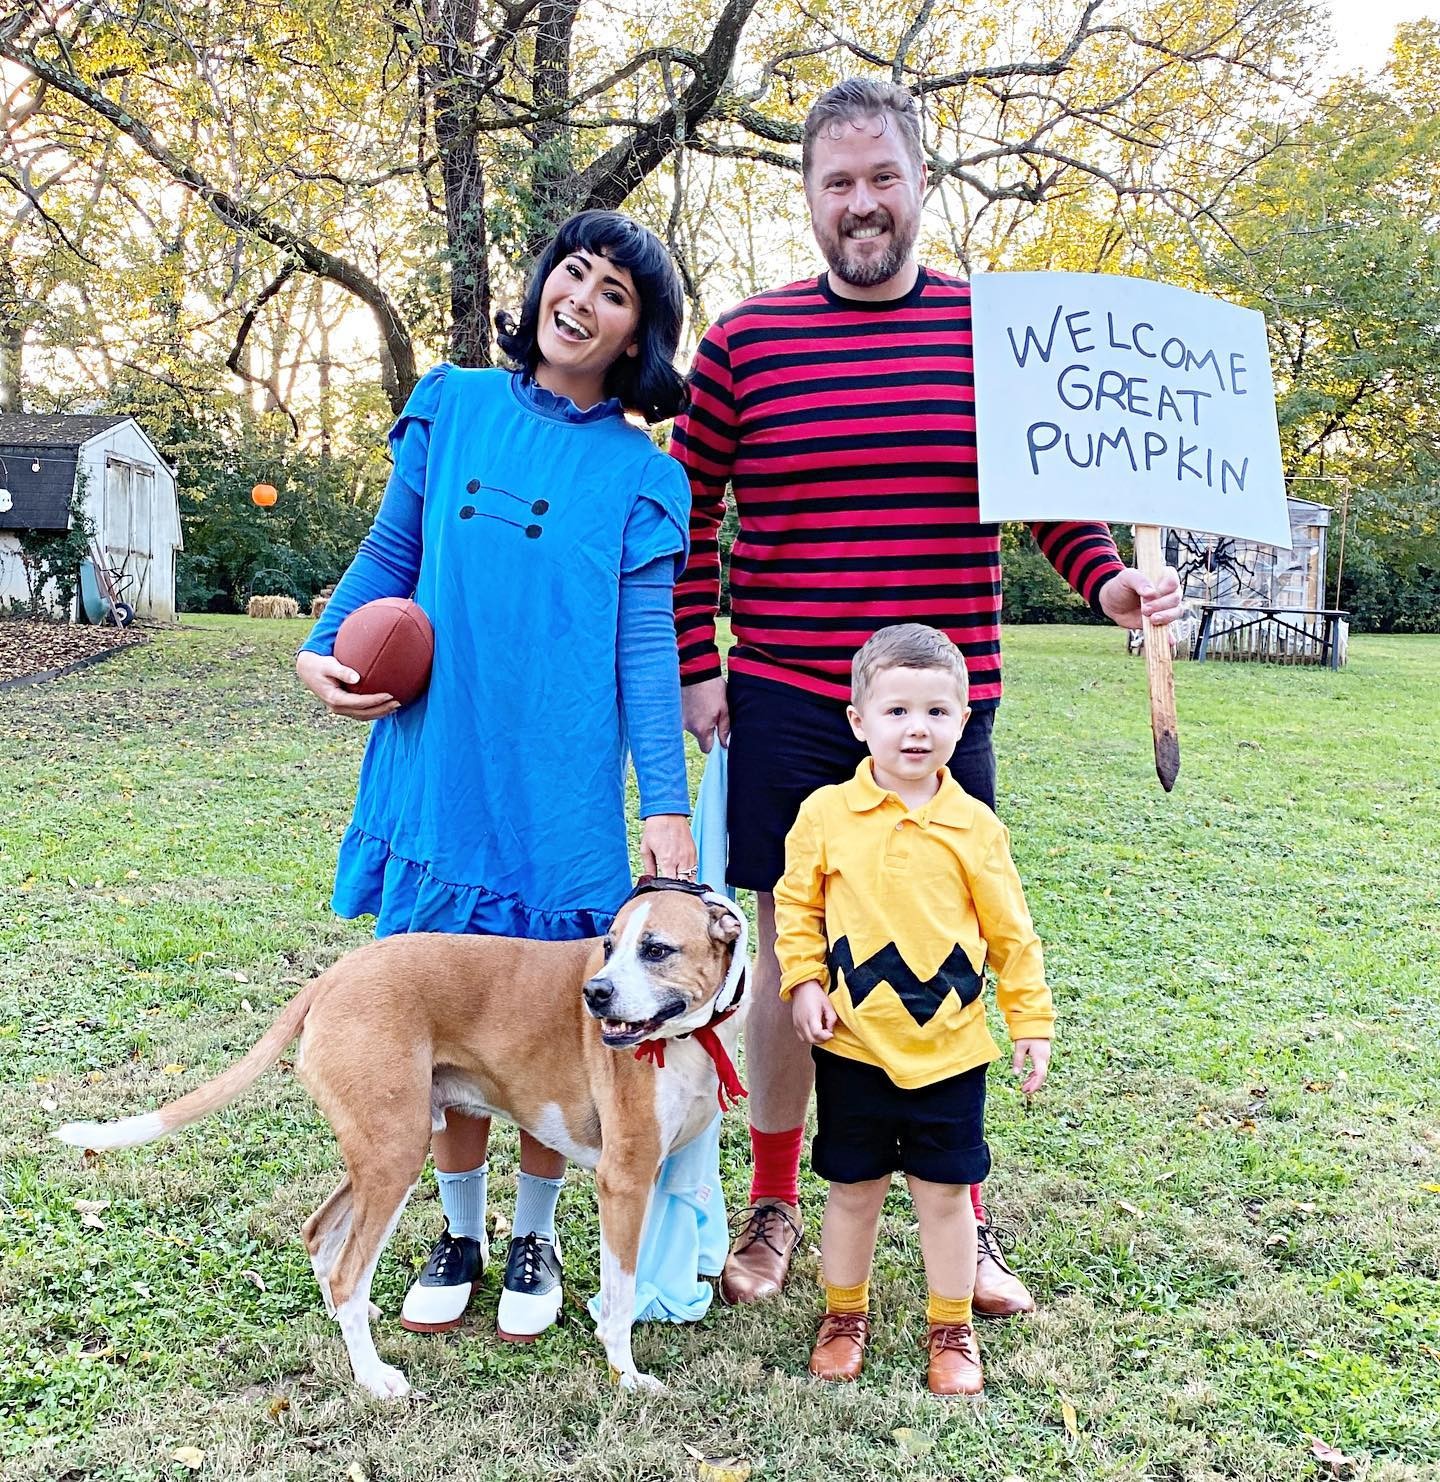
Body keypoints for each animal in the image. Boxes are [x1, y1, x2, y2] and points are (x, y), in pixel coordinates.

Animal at [50, 877, 746, 1399]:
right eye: (609, 944)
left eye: (655, 949)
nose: (594, 994)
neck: (689, 1035)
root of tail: (331, 978)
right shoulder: (624, 1179)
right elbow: (621, 1294)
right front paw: (626, 1373)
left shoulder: (655, 1174)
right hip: (396, 1154)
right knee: (349, 1271)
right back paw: (372, 1375)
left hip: (379, 1150)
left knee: (322, 1237)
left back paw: (351, 1320)